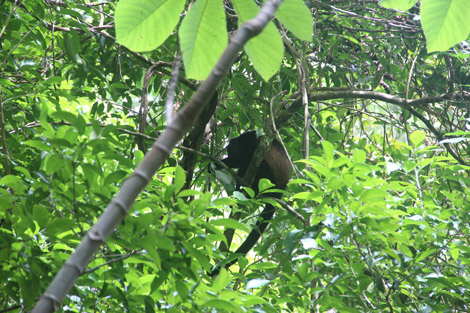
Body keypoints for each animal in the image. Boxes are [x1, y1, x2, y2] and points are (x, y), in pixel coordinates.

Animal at [212, 129, 290, 272]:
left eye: (230, 150)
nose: (228, 152)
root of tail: (279, 192)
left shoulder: (248, 141)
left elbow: (246, 157)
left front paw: (216, 163)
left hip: (268, 180)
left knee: (255, 162)